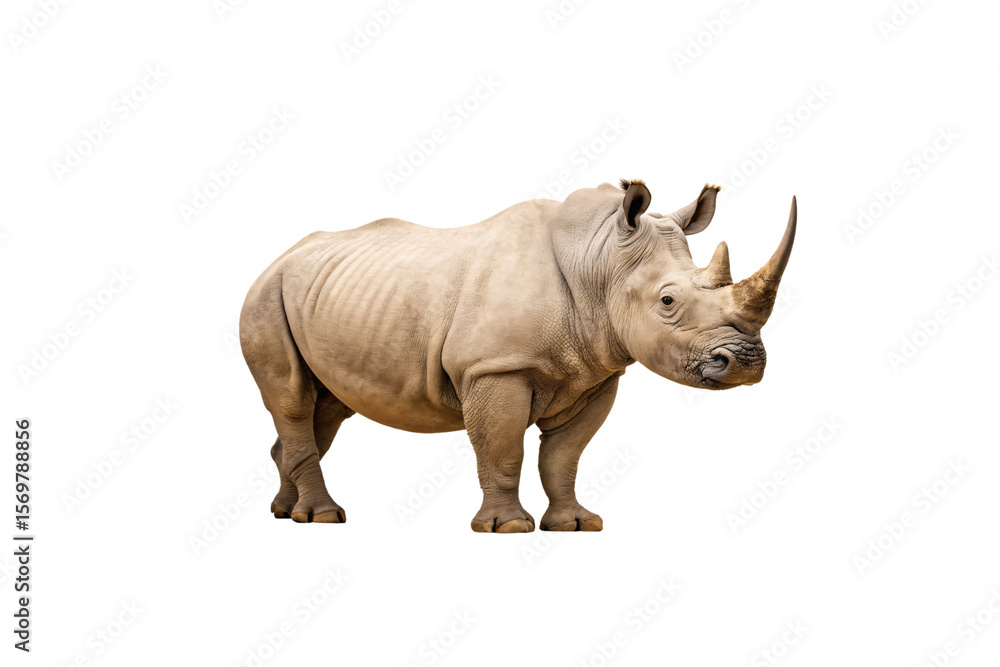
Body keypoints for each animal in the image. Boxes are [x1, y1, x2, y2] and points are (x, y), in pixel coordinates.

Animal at [240, 180, 796, 532]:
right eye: (667, 301)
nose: (746, 363)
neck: (600, 261)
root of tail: (278, 257)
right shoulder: (496, 366)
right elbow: (503, 448)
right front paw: (506, 528)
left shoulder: (597, 373)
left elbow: (564, 456)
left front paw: (576, 524)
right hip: (266, 296)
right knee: (292, 398)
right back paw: (322, 518)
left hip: (322, 295)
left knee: (327, 408)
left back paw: (285, 514)